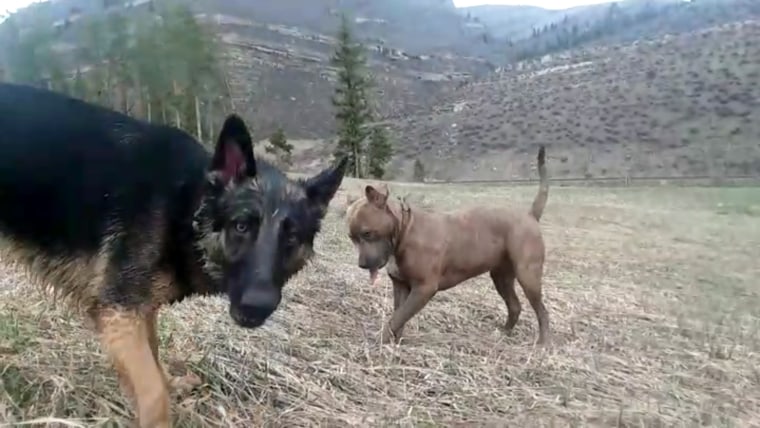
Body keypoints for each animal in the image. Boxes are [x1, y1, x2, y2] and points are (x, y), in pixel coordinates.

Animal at [0, 82, 348, 426]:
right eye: (241, 226)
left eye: (292, 237)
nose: (258, 304)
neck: (186, 207)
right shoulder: (118, 313)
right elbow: (154, 394)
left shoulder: (140, 312)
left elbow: (153, 360)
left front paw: (166, 384)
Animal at [346, 147, 552, 344]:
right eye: (351, 238)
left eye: (367, 233)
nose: (362, 265)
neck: (405, 230)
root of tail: (530, 215)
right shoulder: (401, 286)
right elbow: (399, 317)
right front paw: (395, 343)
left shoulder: (424, 288)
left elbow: (397, 318)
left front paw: (380, 342)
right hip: (501, 277)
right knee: (515, 306)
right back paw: (503, 334)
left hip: (528, 275)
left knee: (542, 311)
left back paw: (543, 343)